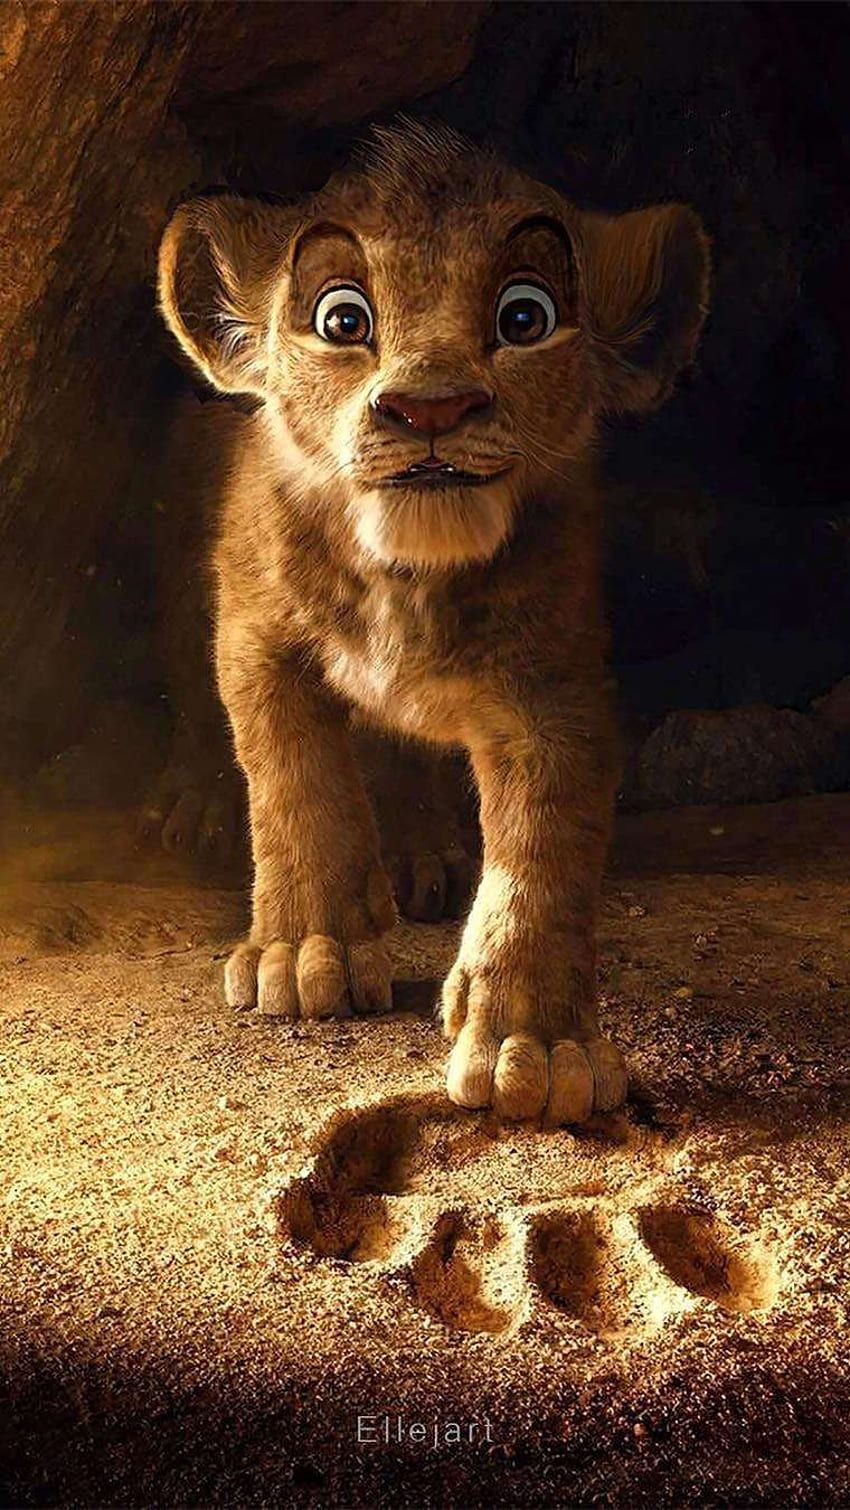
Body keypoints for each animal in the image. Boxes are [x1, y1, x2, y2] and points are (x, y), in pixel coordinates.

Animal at [156, 118, 709, 1124]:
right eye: (342, 320)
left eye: (525, 318)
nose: (431, 407)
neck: (406, 578)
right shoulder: (256, 636)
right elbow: (296, 783)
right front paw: (306, 953)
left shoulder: (555, 685)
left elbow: (542, 850)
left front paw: (538, 1046)